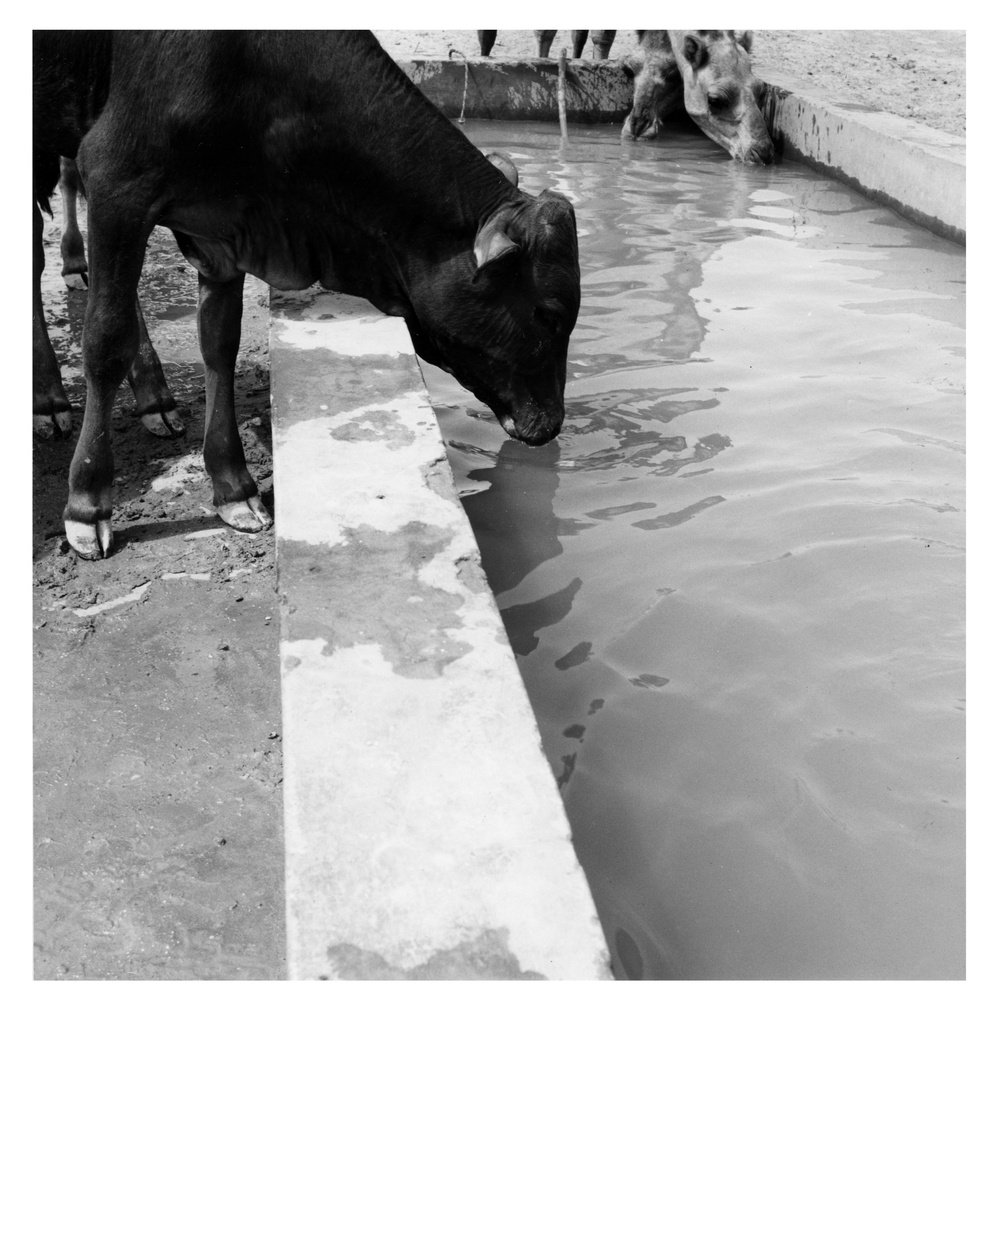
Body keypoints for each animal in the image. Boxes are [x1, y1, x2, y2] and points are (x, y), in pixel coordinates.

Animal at [33, 31, 577, 560]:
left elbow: (219, 345)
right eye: (549, 314)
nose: (553, 424)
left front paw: (233, 486)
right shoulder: (117, 178)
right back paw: (51, 397)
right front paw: (86, 503)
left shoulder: (222, 222)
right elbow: (106, 341)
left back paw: (149, 397)